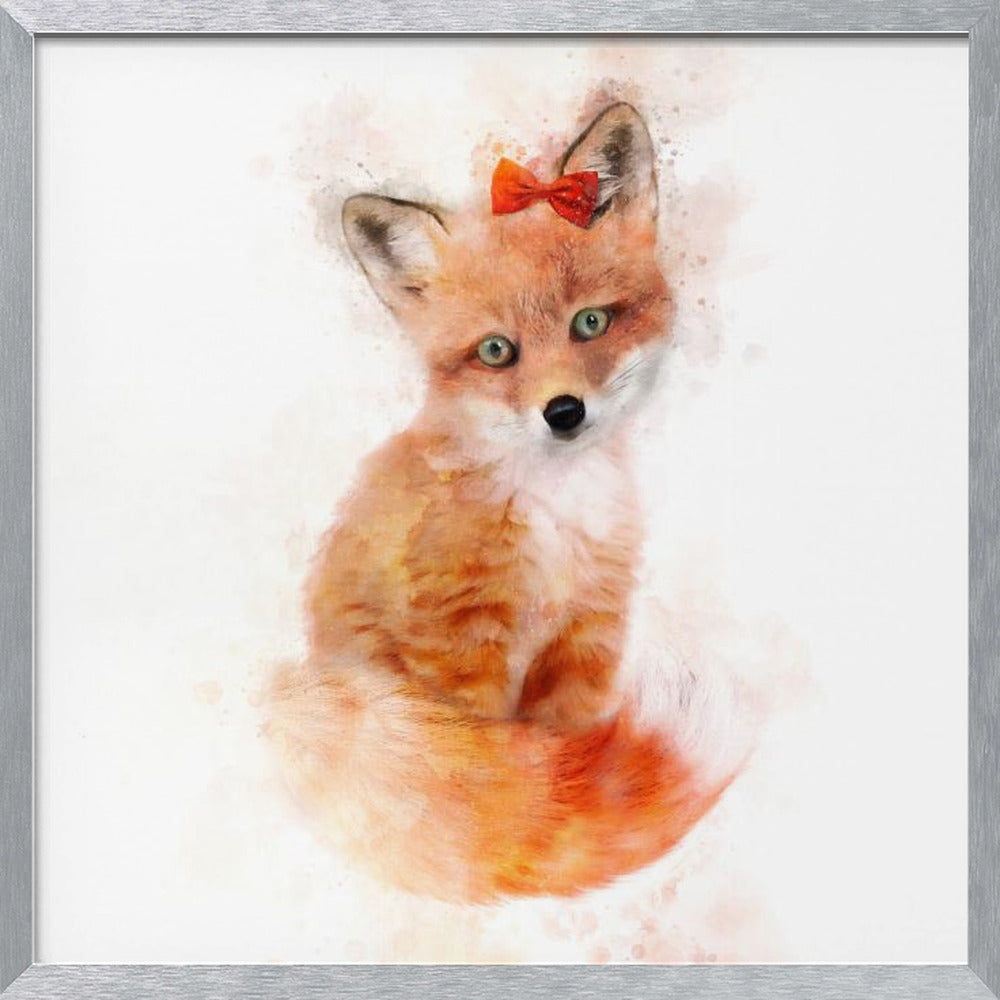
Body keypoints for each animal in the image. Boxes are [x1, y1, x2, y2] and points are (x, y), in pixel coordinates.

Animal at [266, 102, 744, 902]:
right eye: (496, 351)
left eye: (590, 322)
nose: (564, 412)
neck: (554, 517)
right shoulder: (457, 650)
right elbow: (503, 795)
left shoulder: (583, 640)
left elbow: (567, 777)